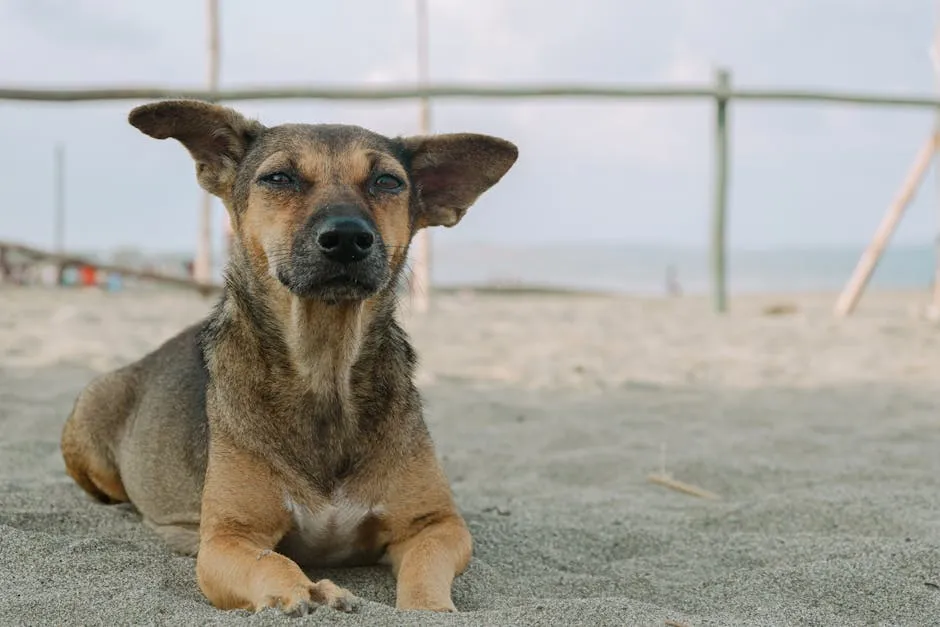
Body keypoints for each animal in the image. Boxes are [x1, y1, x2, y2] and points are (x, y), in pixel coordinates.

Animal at [60, 100, 516, 616]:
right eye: (279, 178)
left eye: (388, 181)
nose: (347, 237)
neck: (324, 369)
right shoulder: (228, 540)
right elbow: (272, 562)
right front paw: (303, 593)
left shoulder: (437, 524)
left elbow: (425, 571)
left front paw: (428, 607)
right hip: (89, 411)